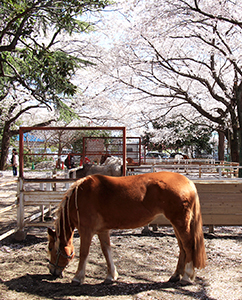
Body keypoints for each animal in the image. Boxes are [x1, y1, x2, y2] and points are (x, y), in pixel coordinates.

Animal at [48, 172, 206, 284]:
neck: (79, 196)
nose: (52, 271)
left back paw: (187, 276)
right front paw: (111, 276)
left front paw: (77, 277)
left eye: (50, 248)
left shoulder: (86, 230)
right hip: (176, 224)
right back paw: (176, 275)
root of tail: (188, 182)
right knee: (182, 248)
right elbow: (106, 251)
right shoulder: (102, 230)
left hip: (180, 223)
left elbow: (84, 253)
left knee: (188, 246)